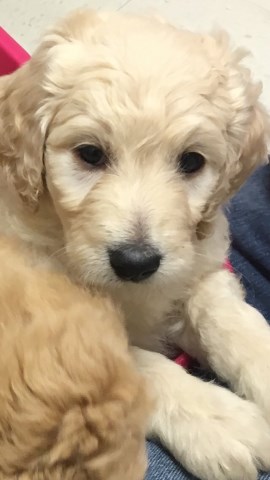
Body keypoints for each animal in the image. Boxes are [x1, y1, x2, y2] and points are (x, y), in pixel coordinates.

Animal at [0, 10, 270, 480]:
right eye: (90, 154)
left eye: (192, 161)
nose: (135, 262)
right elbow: (129, 362)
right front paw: (218, 419)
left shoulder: (197, 263)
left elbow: (224, 316)